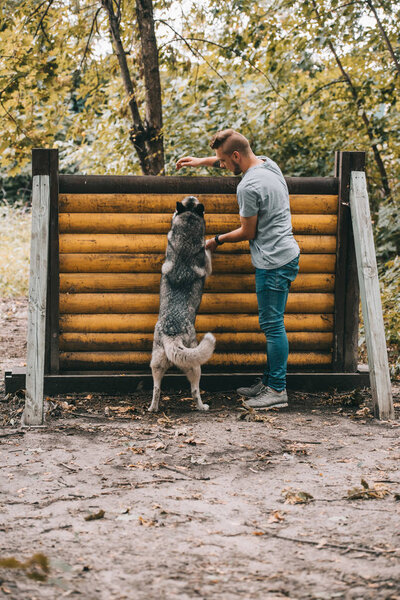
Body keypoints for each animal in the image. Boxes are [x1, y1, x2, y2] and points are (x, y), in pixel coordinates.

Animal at [148, 197, 216, 412]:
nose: (193, 198)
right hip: (195, 365)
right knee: (195, 390)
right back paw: (202, 407)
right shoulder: (207, 265)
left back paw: (153, 408)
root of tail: (172, 334)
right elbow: (208, 254)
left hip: (156, 364)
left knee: (156, 389)